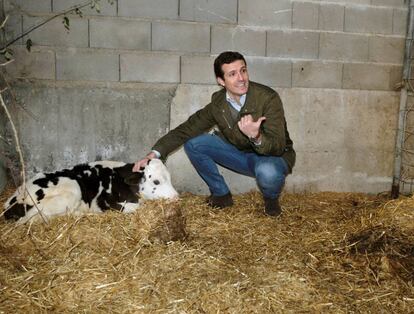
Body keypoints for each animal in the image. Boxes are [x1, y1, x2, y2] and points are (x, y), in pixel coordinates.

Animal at [2, 159, 178, 223]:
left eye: (170, 177)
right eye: (156, 181)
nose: (176, 197)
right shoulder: (109, 203)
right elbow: (136, 208)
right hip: (72, 189)